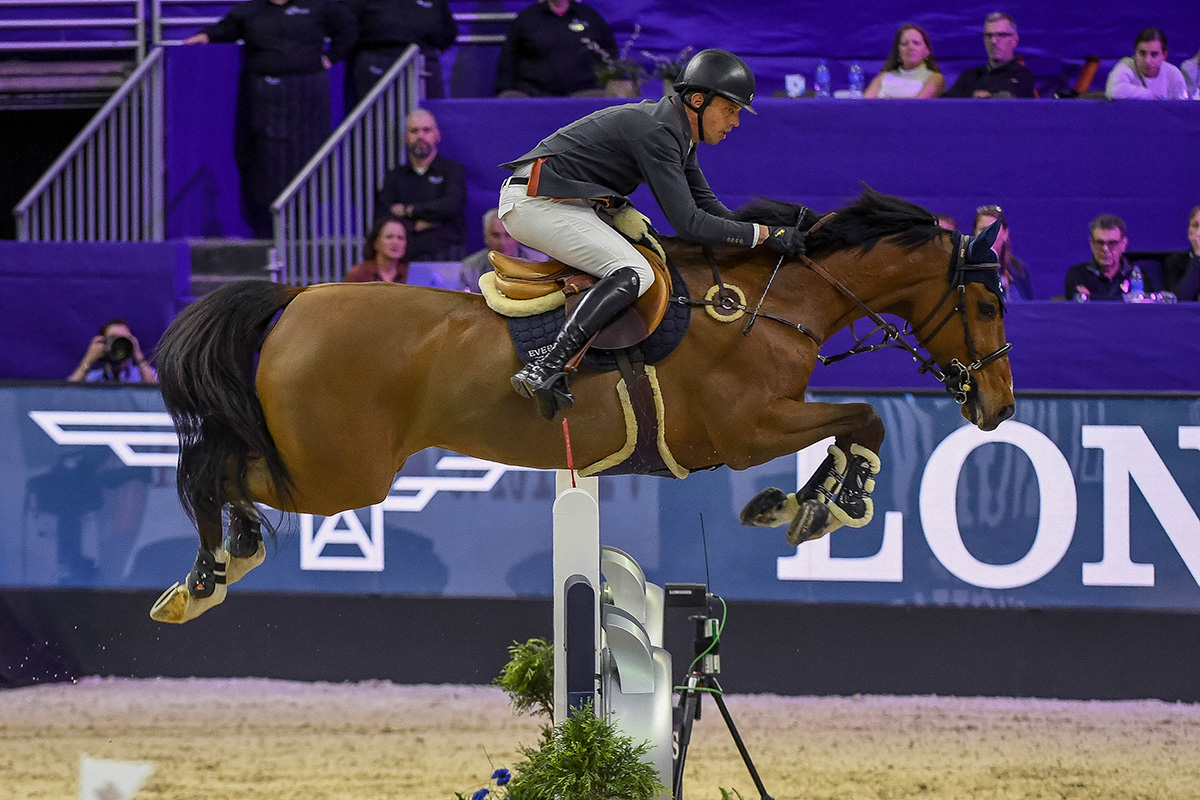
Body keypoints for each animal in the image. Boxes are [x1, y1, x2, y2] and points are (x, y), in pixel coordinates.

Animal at [150, 190, 1012, 623]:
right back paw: (208, 574)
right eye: (985, 303)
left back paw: (220, 564)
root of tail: (295, 296)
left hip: (329, 464)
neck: (771, 303)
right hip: (339, 473)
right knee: (212, 472)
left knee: (222, 469)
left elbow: (851, 425)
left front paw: (796, 506)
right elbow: (864, 418)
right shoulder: (744, 429)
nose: (999, 408)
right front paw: (837, 504)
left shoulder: (769, 420)